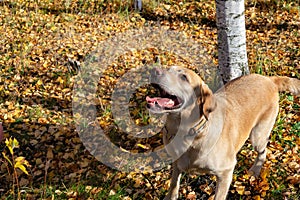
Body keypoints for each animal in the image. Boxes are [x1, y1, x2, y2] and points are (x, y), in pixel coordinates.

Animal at [146, 66, 300, 199]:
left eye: (183, 77)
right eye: (168, 68)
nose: (154, 70)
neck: (189, 132)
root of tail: (269, 79)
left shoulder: (226, 171)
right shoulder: (176, 163)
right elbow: (173, 184)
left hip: (257, 135)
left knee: (263, 151)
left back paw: (255, 169)